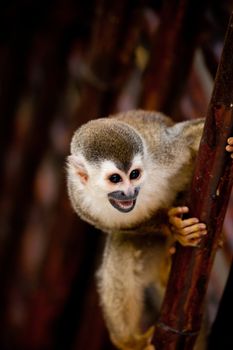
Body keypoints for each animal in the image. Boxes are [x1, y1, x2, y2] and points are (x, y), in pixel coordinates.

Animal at [66, 111, 233, 350]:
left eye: (134, 174)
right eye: (115, 179)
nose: (129, 192)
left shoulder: (161, 153)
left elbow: (189, 139)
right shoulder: (80, 201)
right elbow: (127, 228)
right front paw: (171, 225)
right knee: (122, 243)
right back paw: (128, 340)